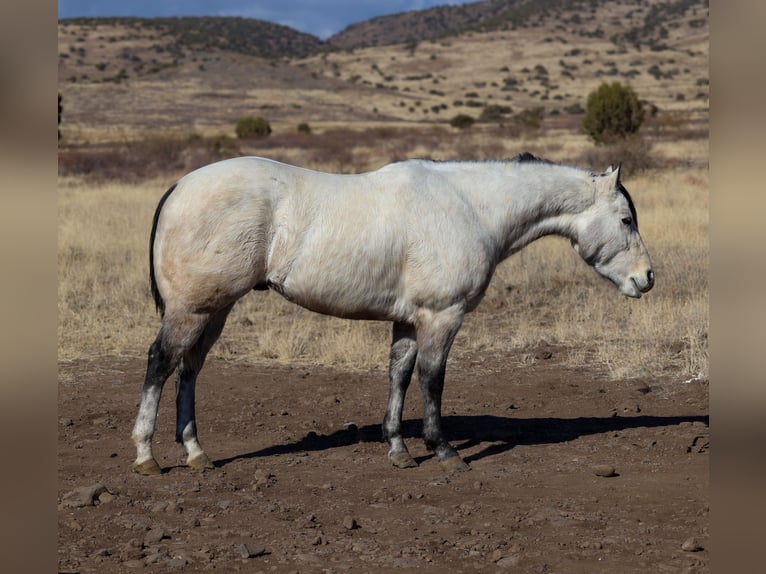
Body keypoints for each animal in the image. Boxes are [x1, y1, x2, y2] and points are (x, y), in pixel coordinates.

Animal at [130, 152, 656, 476]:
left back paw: (196, 452)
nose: (647, 278)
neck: (470, 207)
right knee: (161, 362)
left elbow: (399, 376)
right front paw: (443, 450)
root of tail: (180, 186)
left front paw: (398, 449)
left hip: (214, 310)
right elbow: (432, 380)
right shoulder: (442, 317)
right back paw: (145, 455)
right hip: (193, 308)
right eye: (626, 219)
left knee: (189, 369)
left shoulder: (407, 320)